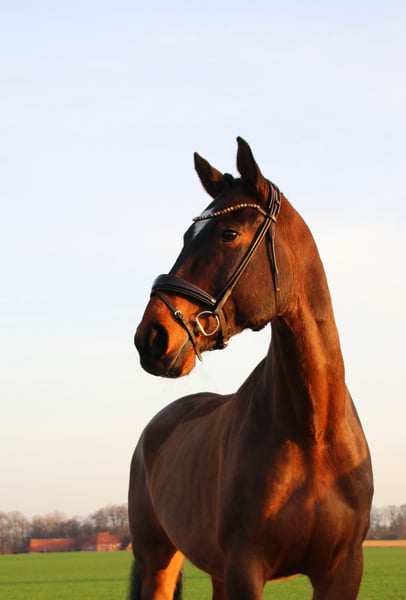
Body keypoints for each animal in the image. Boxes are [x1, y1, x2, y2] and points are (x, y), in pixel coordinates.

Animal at [129, 137, 373, 599]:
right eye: (187, 235)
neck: (313, 433)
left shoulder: (342, 571)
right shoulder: (246, 566)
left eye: (228, 233)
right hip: (159, 562)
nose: (151, 337)